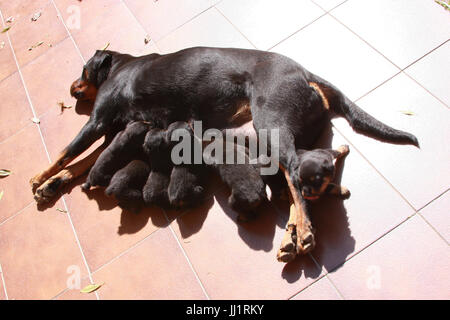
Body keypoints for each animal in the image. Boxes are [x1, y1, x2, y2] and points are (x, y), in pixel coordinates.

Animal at [31, 47, 418, 258]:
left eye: (83, 69)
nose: (72, 88)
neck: (122, 64)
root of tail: (305, 73)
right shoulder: (114, 131)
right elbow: (83, 162)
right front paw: (54, 183)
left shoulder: (98, 121)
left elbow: (67, 152)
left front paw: (39, 177)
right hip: (269, 135)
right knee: (297, 178)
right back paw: (293, 231)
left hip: (270, 124)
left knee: (297, 181)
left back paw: (304, 231)